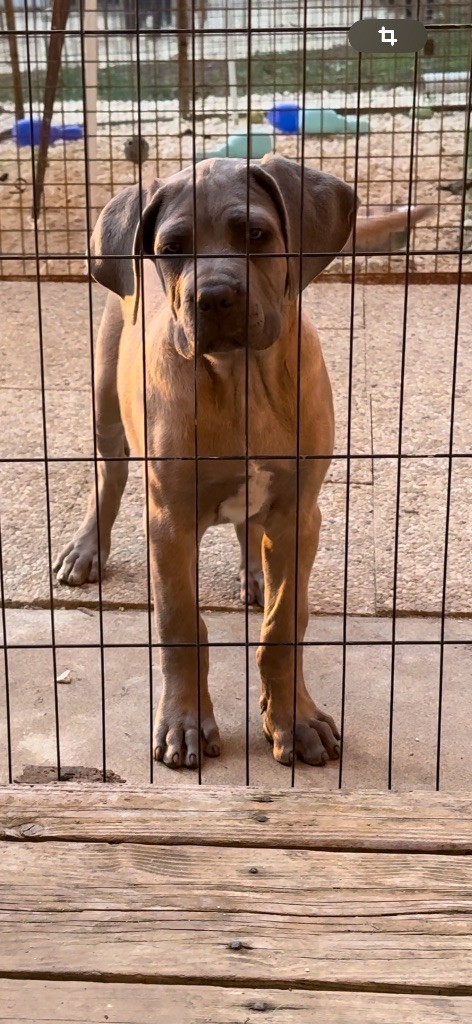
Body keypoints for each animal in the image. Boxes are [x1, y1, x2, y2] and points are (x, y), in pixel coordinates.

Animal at [53, 153, 427, 770]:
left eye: (256, 235)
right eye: (171, 248)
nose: (214, 298)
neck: (240, 380)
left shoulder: (300, 514)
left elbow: (284, 623)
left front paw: (294, 720)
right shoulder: (169, 523)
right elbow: (180, 623)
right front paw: (184, 723)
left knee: (251, 529)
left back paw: (255, 570)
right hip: (106, 397)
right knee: (110, 475)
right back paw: (86, 550)